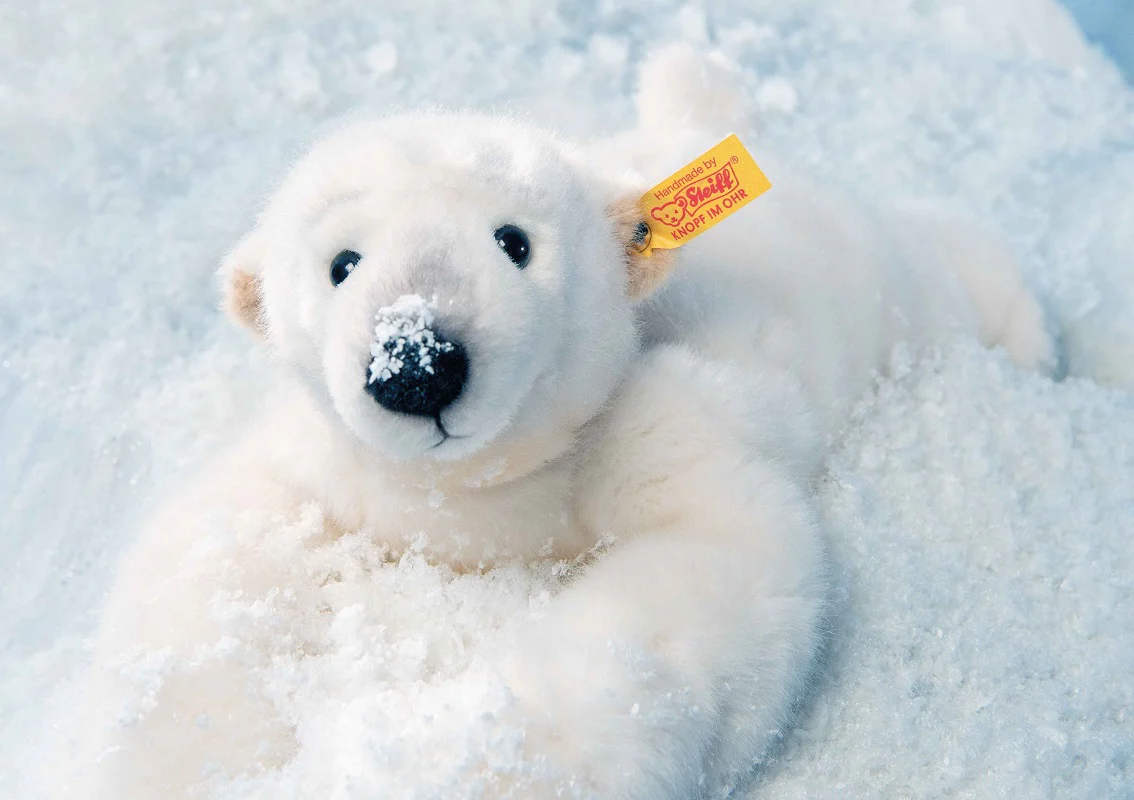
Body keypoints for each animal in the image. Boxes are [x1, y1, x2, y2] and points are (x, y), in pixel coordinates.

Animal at [69, 45, 1057, 800]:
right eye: (341, 263)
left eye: (515, 242)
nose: (415, 365)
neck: (472, 501)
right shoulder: (330, 471)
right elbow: (211, 575)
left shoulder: (647, 424)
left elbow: (699, 570)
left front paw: (447, 761)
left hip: (879, 276)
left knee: (953, 263)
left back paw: (1040, 343)